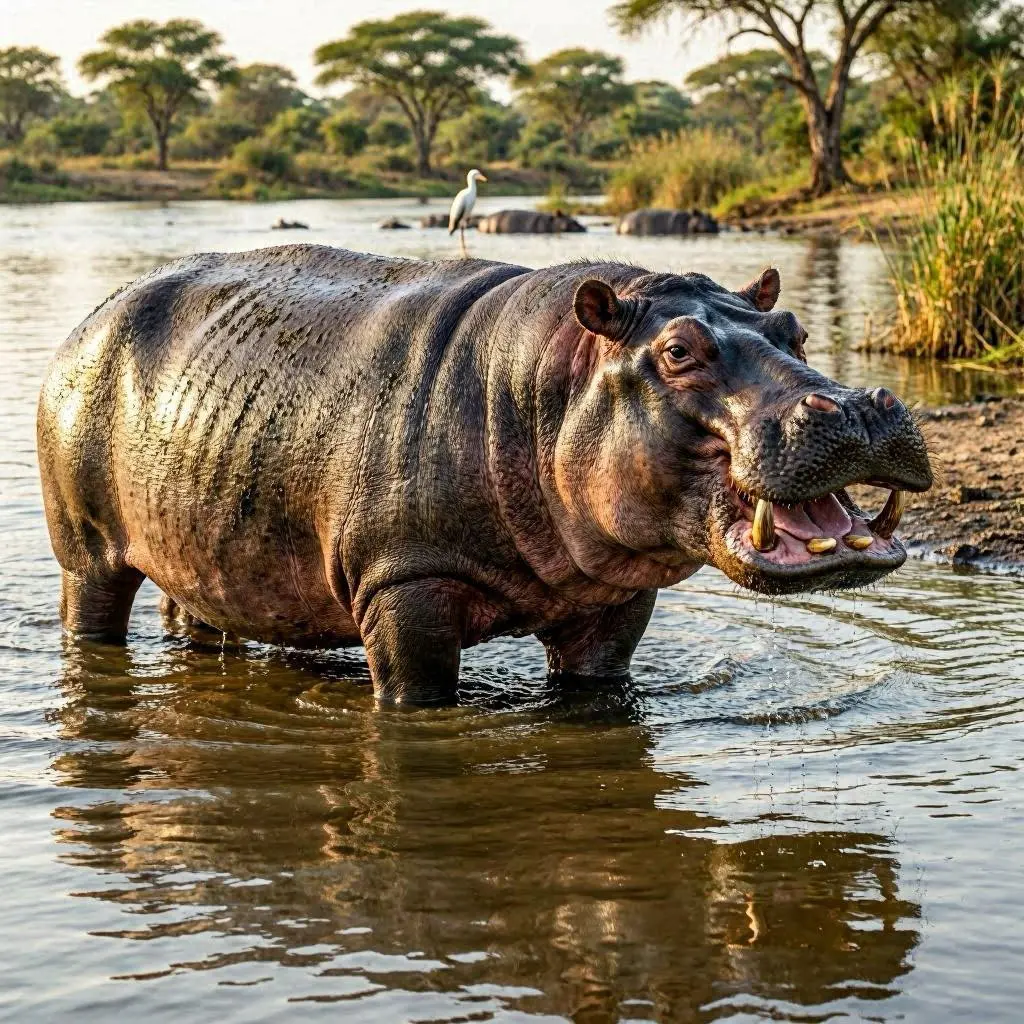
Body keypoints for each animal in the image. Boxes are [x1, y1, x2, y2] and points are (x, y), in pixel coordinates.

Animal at [37, 246, 932, 705]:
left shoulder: (614, 603)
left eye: (794, 328)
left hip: (204, 536)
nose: (856, 406)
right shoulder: (405, 585)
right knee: (92, 611)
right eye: (679, 350)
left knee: (196, 616)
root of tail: (94, 314)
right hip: (86, 551)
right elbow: (418, 690)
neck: (553, 381)